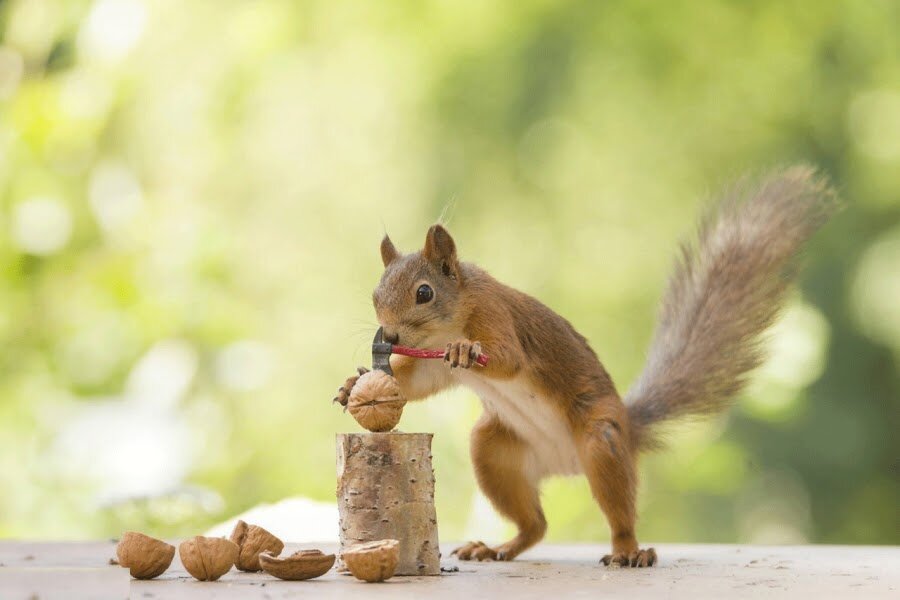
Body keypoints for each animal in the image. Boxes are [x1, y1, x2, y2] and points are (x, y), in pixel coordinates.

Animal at [336, 166, 836, 564]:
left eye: (424, 292)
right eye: (375, 293)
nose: (390, 338)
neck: (447, 324)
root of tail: (567, 463)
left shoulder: (497, 317)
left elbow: (506, 358)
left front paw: (465, 350)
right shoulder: (431, 367)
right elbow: (415, 382)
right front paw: (352, 385)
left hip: (602, 440)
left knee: (616, 512)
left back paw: (629, 551)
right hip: (493, 451)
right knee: (535, 524)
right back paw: (496, 548)